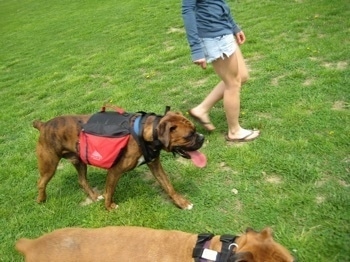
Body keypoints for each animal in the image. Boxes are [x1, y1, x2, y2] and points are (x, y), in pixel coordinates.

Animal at [31, 110, 205, 211]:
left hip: (79, 160)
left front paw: (181, 203)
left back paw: (94, 197)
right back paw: (41, 200)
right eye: (189, 135)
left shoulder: (155, 164)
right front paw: (109, 208)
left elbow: (169, 186)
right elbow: (110, 191)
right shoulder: (115, 171)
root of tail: (43, 125)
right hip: (49, 165)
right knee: (41, 182)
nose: (202, 138)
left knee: (82, 181)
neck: (144, 132)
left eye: (195, 130)